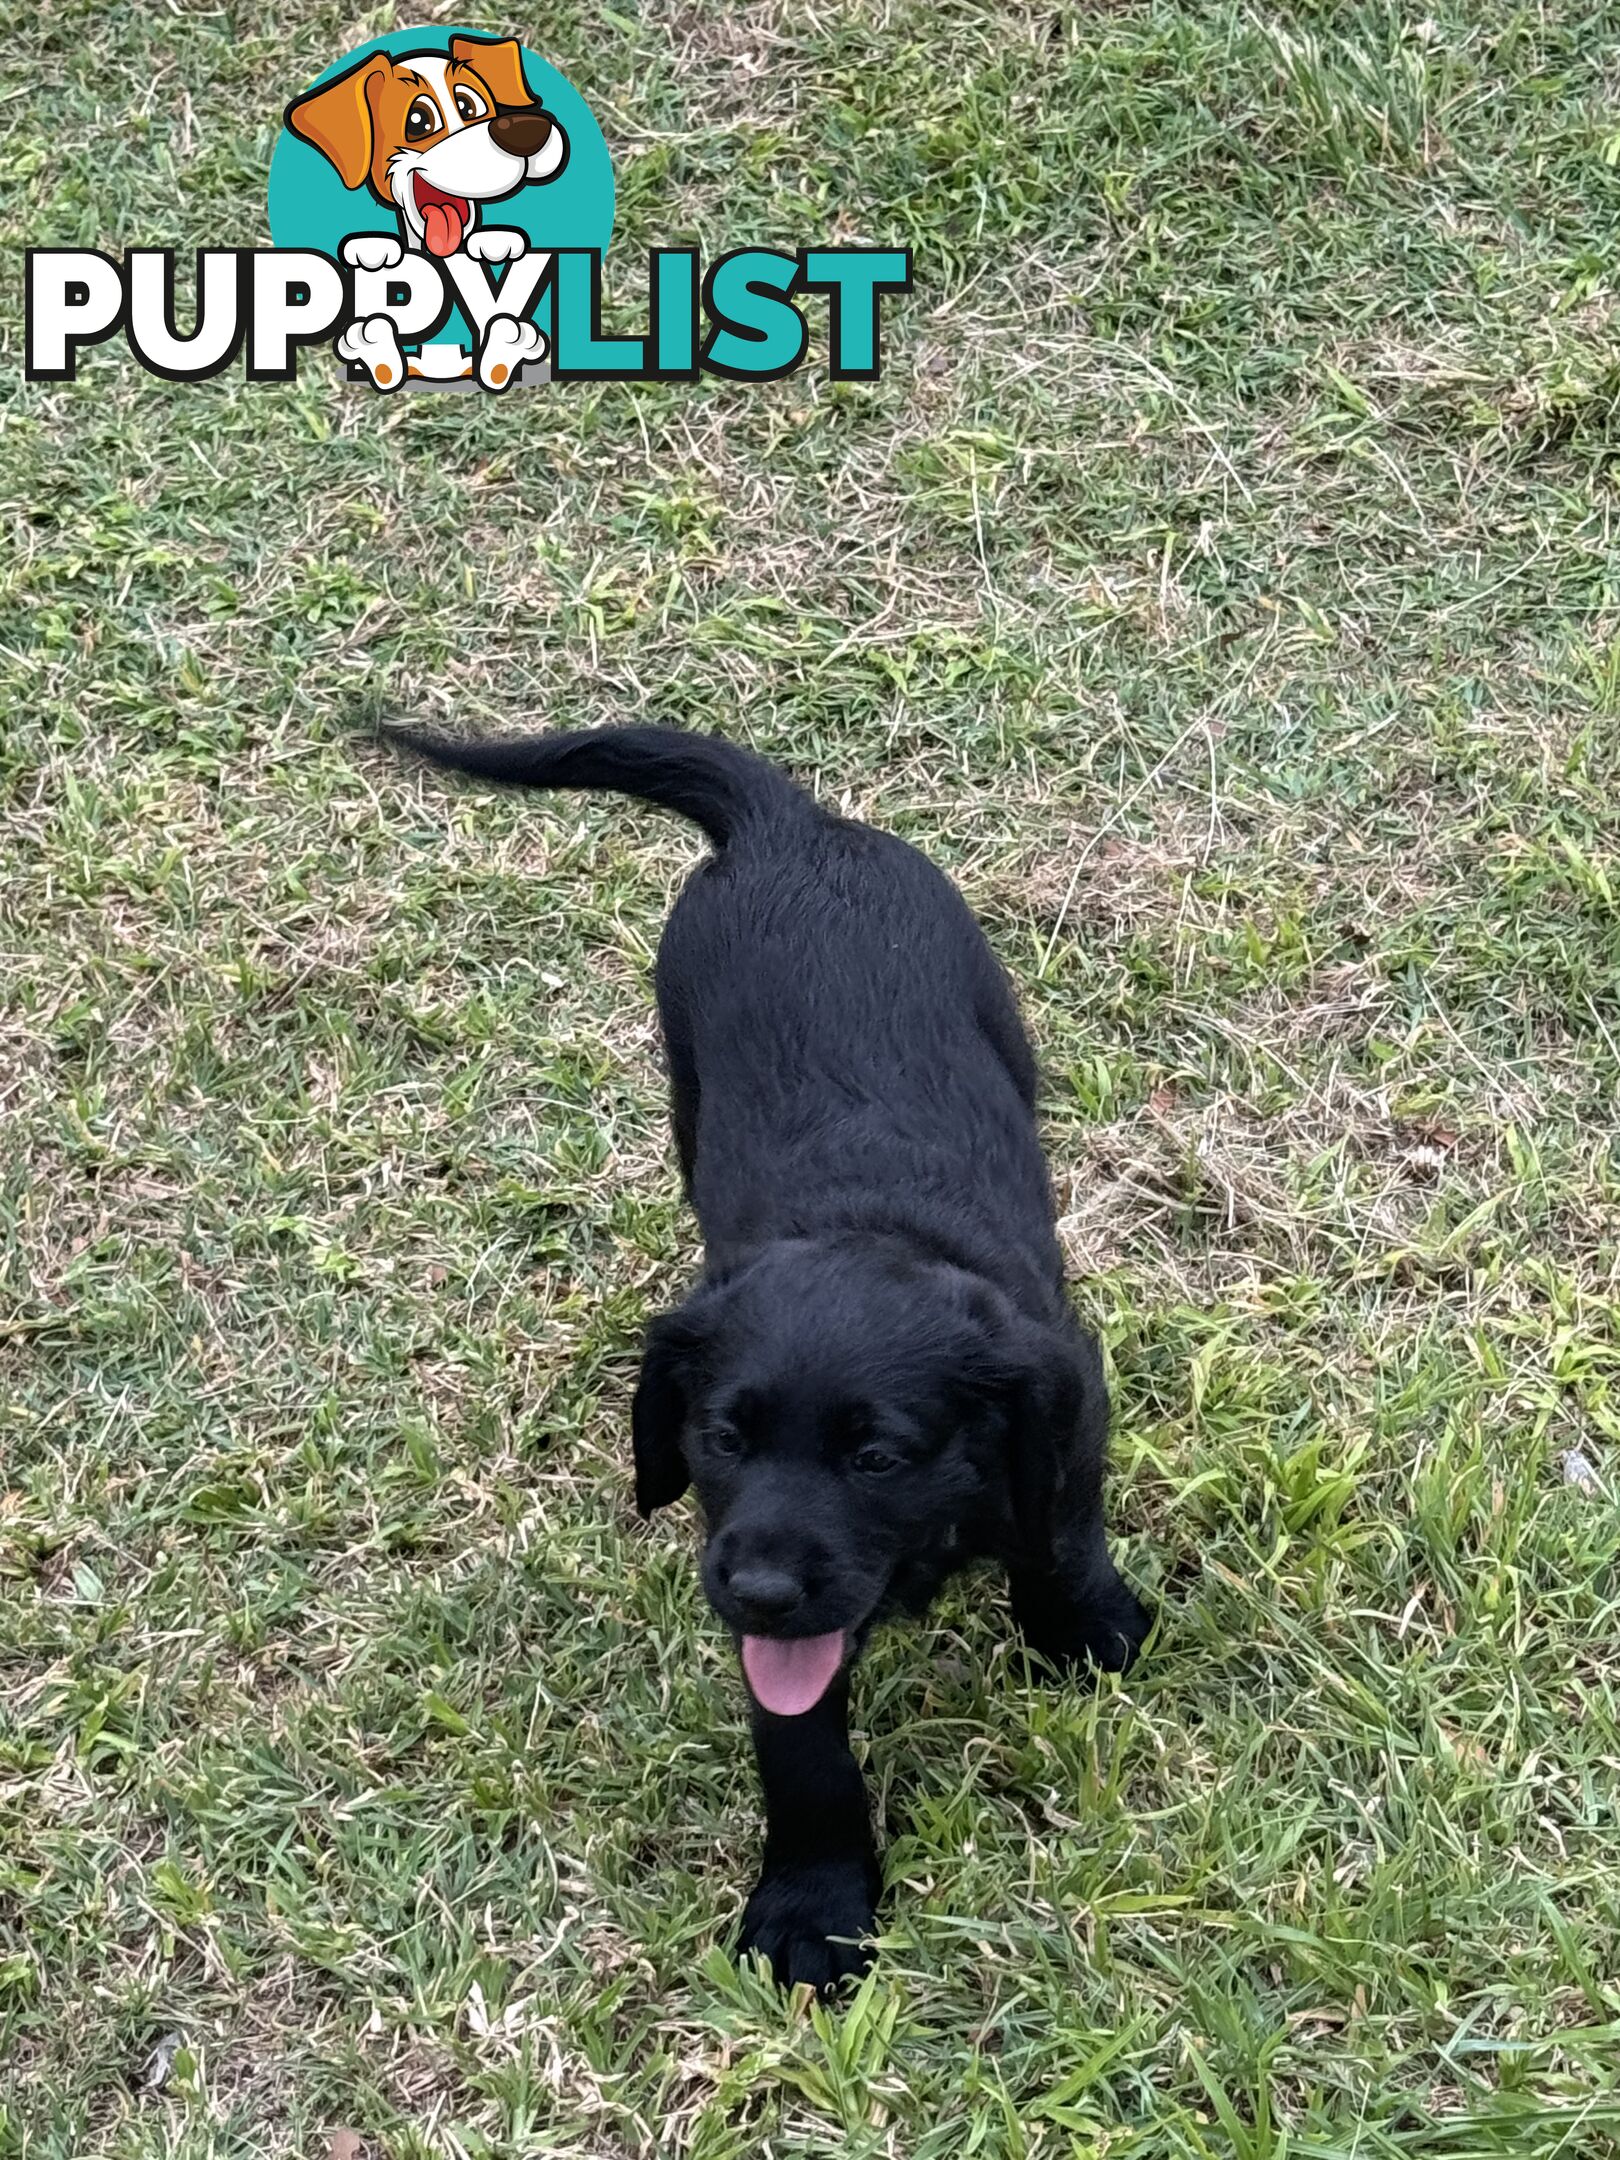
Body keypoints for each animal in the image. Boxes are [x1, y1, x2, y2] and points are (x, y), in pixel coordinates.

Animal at [393, 725, 1157, 1987]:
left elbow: (1060, 1526)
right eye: (722, 1438)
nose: (753, 1590)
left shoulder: (1068, 1399)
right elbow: (803, 1751)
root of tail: (789, 828)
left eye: (879, 1458)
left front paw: (1084, 1629)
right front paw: (816, 1901)